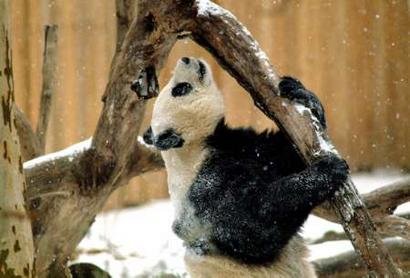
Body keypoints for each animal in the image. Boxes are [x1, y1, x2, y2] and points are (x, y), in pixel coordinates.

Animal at [143, 57, 348, 276]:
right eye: (181, 89)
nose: (186, 59)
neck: (194, 147)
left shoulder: (243, 143)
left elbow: (285, 152)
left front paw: (297, 91)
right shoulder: (207, 186)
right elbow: (252, 225)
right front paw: (329, 169)